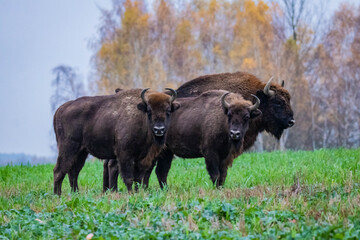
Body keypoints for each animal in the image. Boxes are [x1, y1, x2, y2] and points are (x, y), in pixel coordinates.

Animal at [52, 88, 180, 195]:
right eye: (149, 111)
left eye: (168, 110)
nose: (159, 129)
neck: (141, 118)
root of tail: (60, 109)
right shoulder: (125, 155)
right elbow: (128, 177)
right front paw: (131, 194)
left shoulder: (142, 158)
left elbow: (138, 178)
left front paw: (137, 193)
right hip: (68, 148)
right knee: (59, 170)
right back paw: (57, 195)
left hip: (81, 152)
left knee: (73, 171)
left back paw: (75, 193)